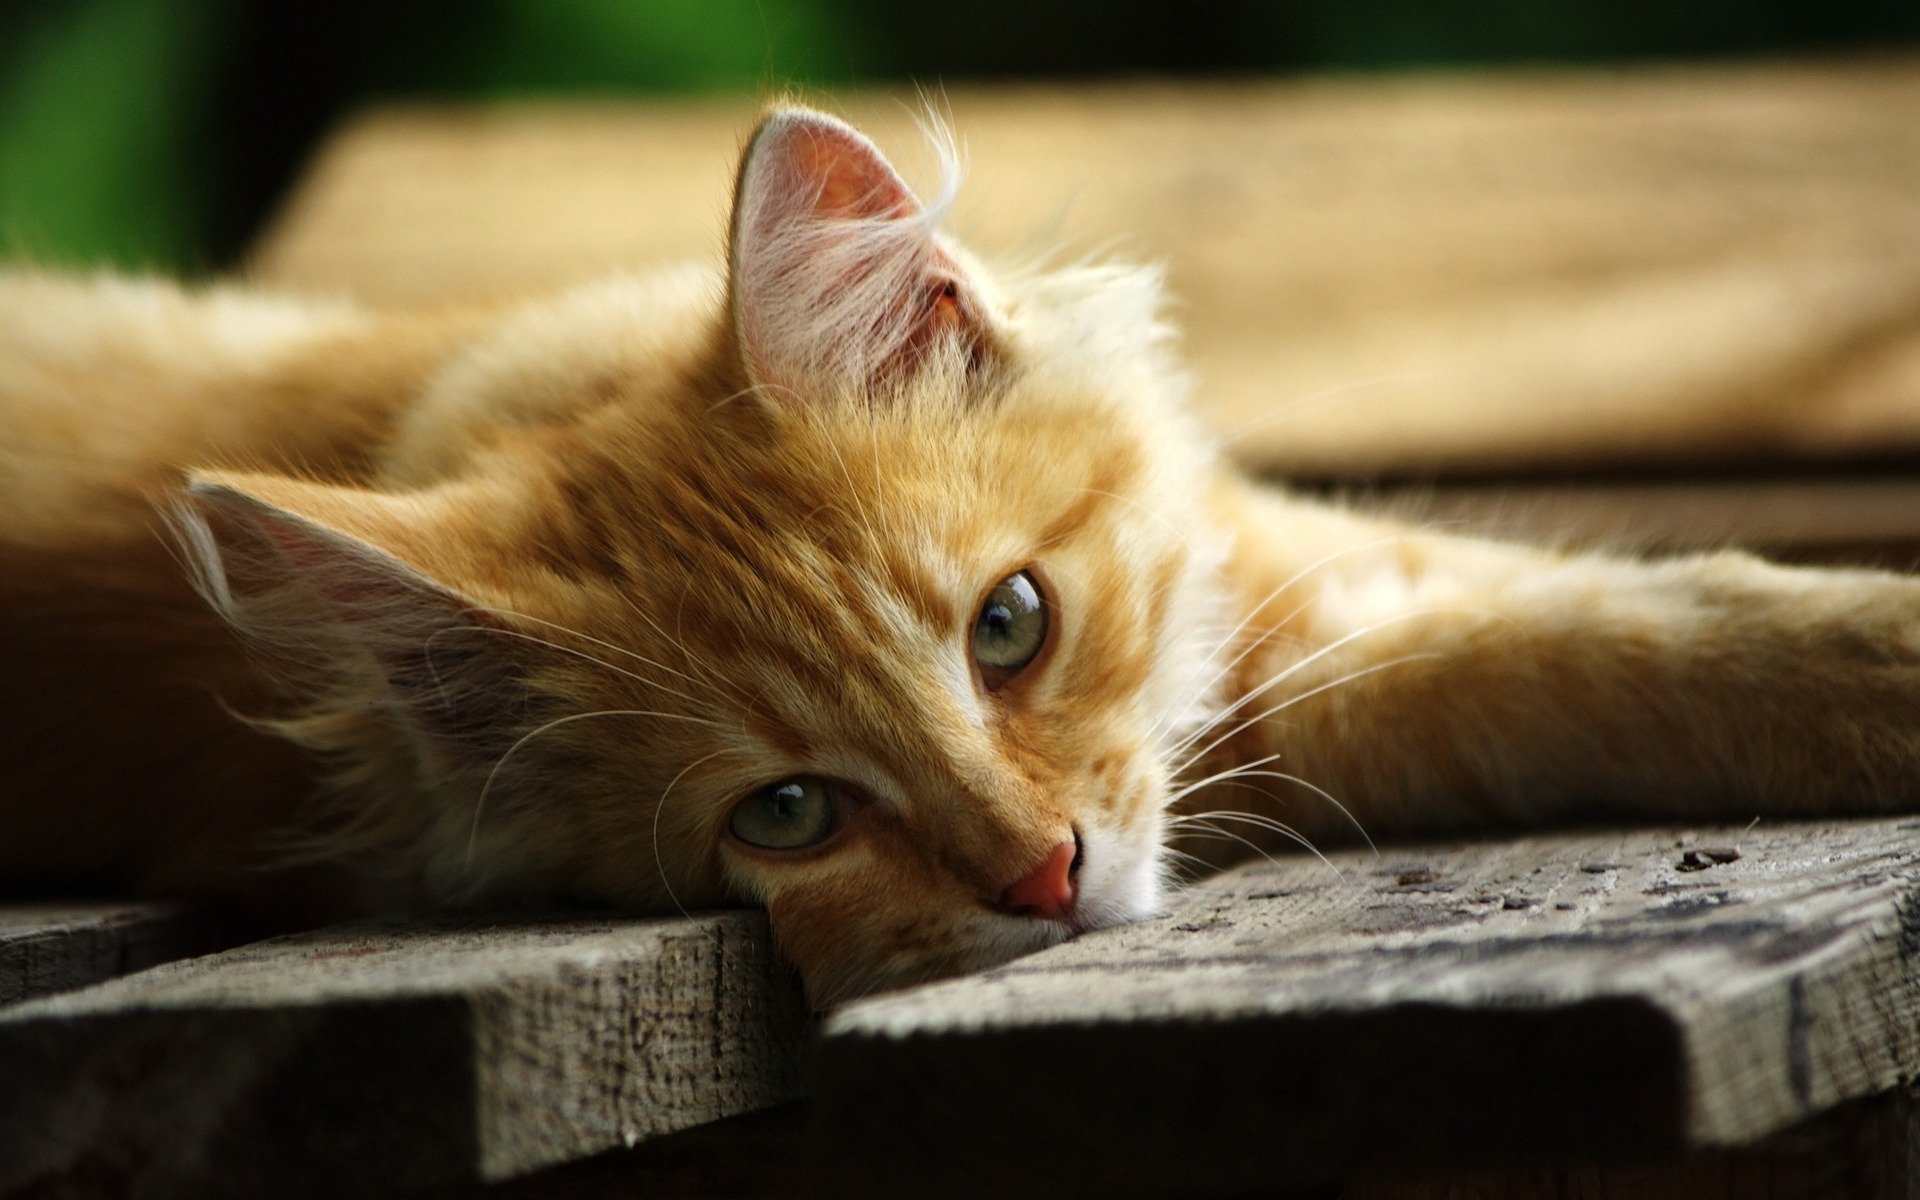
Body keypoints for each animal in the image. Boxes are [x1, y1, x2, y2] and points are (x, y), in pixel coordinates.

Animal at [3, 105, 1920, 998]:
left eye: (1009, 627)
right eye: (786, 813)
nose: (1047, 879)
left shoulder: (1275, 612)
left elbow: (1611, 630)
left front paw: (1863, 647)